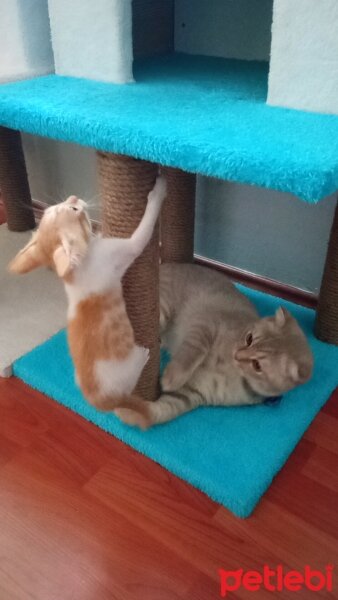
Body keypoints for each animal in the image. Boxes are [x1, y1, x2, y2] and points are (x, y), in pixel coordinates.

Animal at [7, 173, 166, 408]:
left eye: (55, 207)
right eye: (73, 209)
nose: (73, 196)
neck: (75, 271)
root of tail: (102, 402)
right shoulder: (129, 246)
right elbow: (146, 224)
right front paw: (158, 192)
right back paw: (145, 354)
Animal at [115, 262, 312, 426]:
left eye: (257, 365)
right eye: (249, 339)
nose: (237, 355)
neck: (230, 370)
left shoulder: (193, 393)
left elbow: (158, 411)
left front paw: (129, 412)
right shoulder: (205, 327)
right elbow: (191, 355)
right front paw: (171, 377)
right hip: (161, 311)